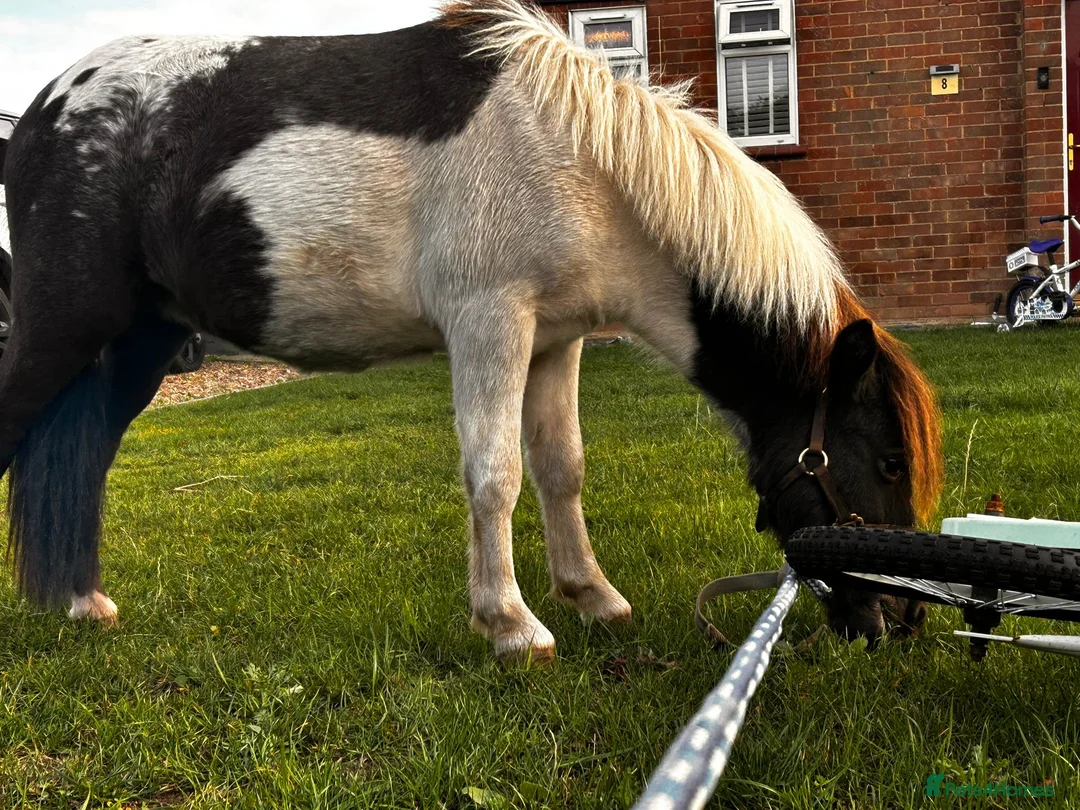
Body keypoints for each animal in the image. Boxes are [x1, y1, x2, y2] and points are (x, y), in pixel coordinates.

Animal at [0, 0, 943, 662]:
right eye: (890, 462)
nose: (899, 623)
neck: (582, 162)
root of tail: (43, 110)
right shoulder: (492, 323)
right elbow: (496, 475)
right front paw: (512, 626)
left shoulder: (556, 341)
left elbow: (562, 470)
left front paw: (593, 597)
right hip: (61, 332)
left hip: (137, 346)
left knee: (83, 462)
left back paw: (83, 605)